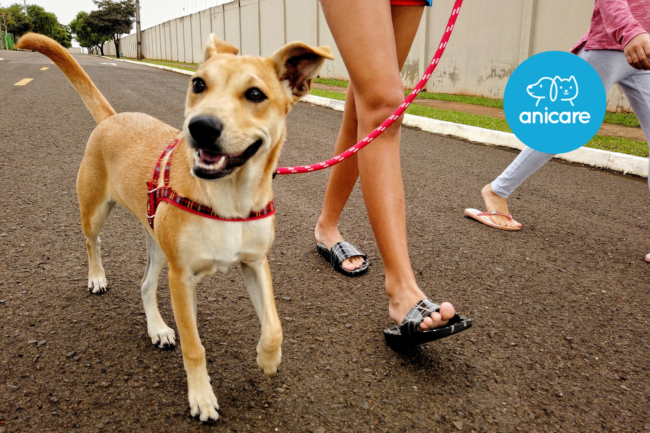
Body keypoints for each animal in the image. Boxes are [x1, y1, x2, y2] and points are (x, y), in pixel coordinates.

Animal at [17, 33, 332, 422]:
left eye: (255, 94)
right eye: (198, 84)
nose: (200, 127)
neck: (230, 198)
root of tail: (113, 118)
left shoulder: (255, 262)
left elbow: (274, 324)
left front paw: (268, 358)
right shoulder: (181, 278)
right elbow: (194, 346)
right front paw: (201, 397)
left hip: (157, 243)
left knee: (145, 285)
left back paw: (157, 328)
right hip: (95, 211)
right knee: (93, 242)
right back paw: (97, 277)